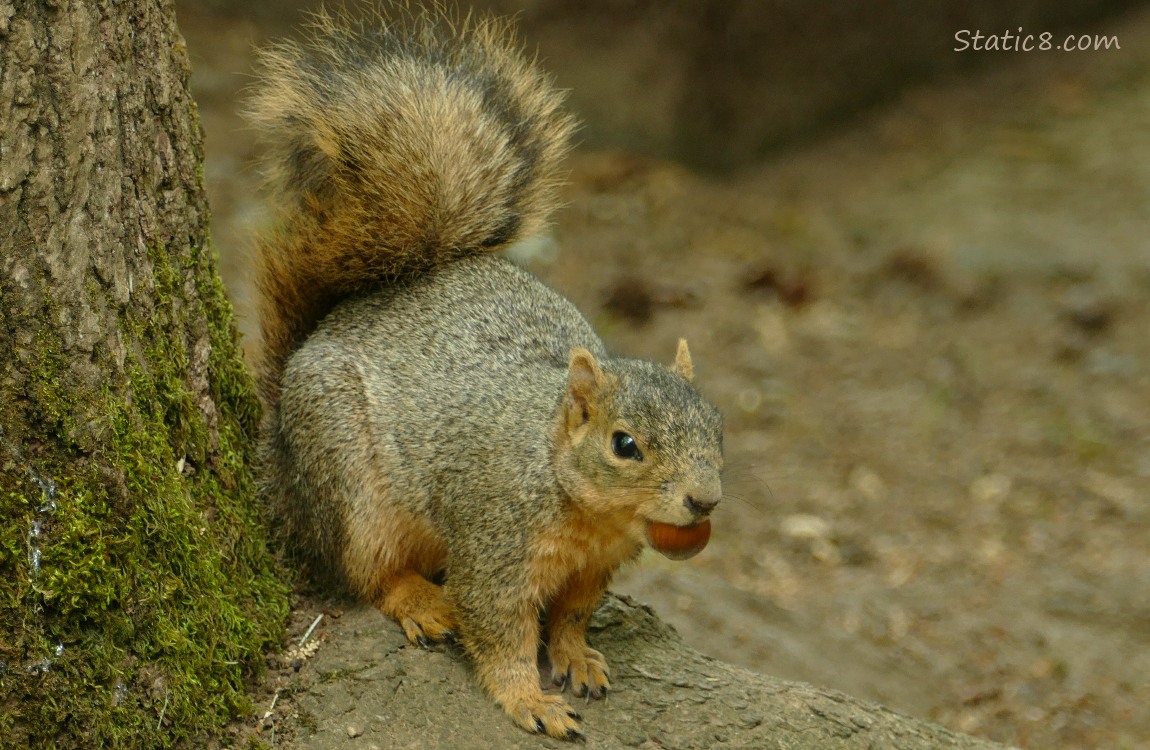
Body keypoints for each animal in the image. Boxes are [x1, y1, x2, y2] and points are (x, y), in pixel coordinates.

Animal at [247, 6, 724, 740]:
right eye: (625, 445)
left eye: (717, 428)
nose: (705, 502)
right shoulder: (493, 546)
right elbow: (500, 632)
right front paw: (529, 699)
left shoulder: (591, 570)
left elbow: (571, 617)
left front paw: (576, 658)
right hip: (344, 477)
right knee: (366, 571)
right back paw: (420, 601)